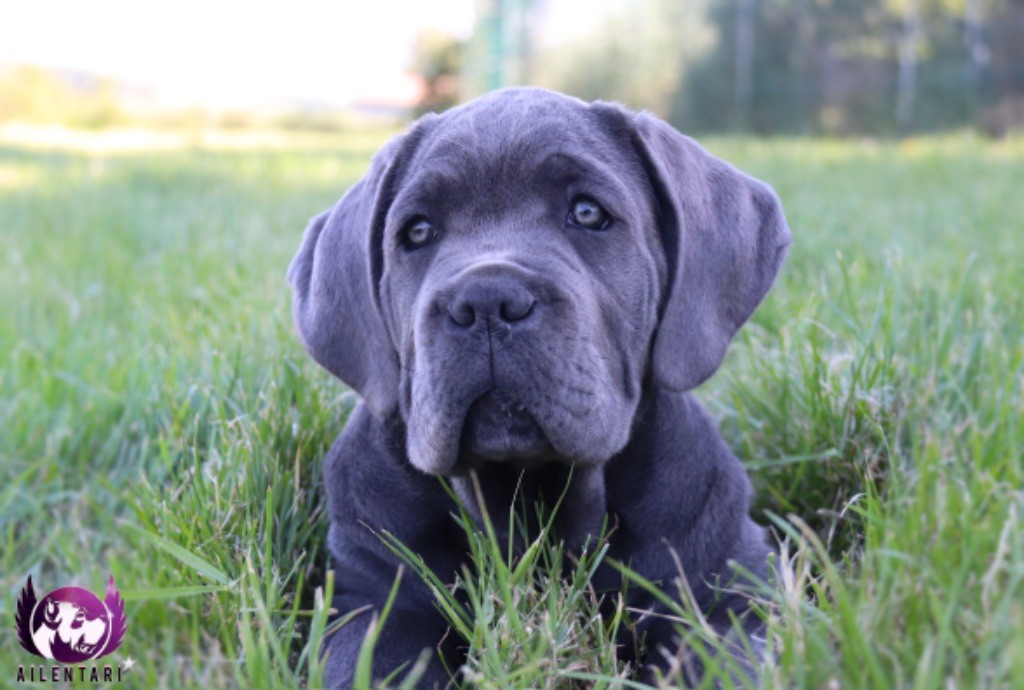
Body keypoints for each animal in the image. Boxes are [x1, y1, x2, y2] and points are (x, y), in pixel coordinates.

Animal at [288, 87, 791, 688]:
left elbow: (730, 663)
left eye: (588, 212)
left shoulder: (730, 593)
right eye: (418, 231)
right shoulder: (373, 602)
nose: (486, 300)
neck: (530, 495)